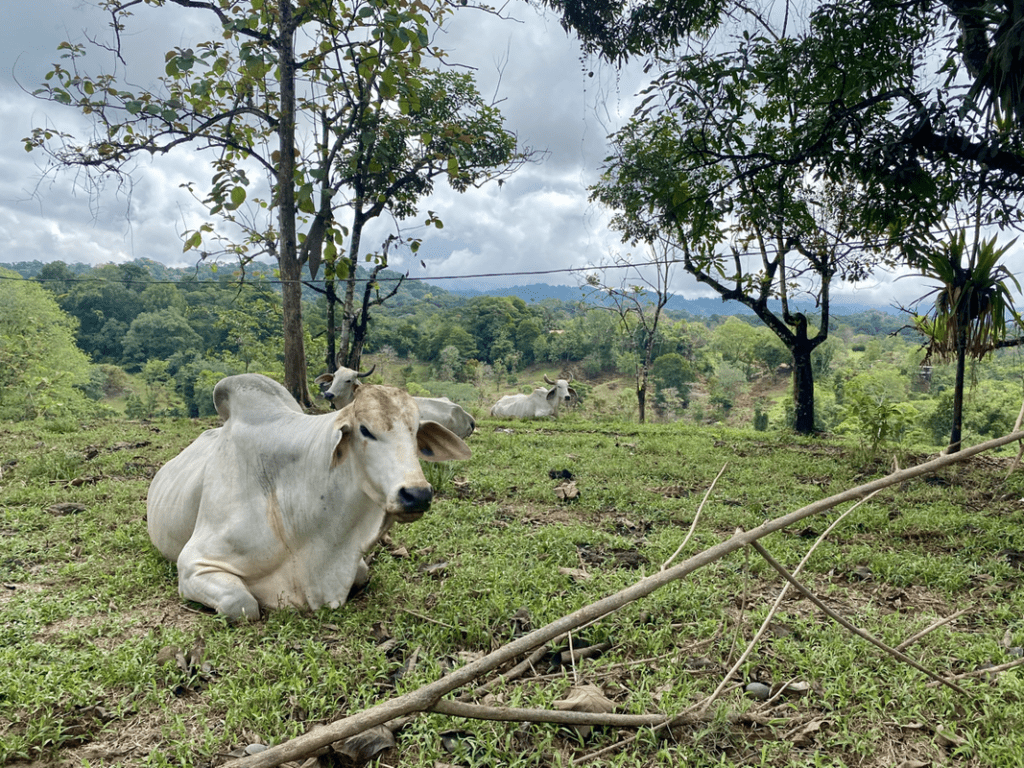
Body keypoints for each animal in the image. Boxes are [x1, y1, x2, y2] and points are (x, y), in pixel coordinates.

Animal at [146, 373, 470, 621]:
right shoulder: (193, 562)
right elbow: (242, 604)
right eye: (366, 430)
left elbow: (362, 572)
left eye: (415, 433)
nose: (417, 494)